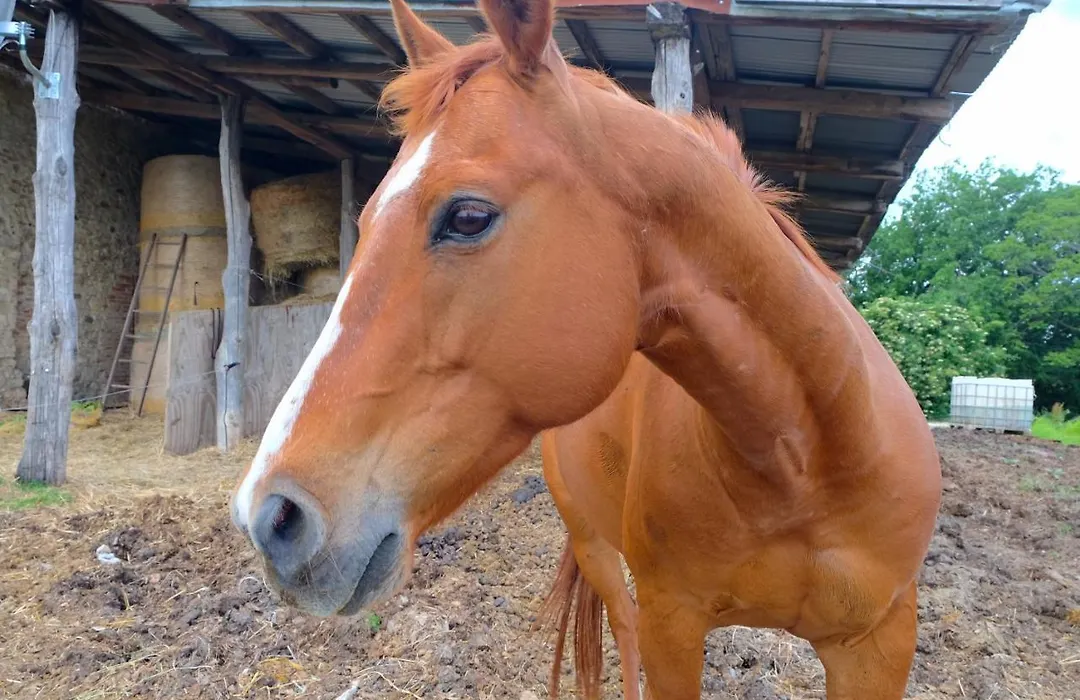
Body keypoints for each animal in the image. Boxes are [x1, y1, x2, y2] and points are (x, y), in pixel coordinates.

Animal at [228, 0, 943, 697]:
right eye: (366, 217)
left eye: (467, 217)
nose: (270, 517)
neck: (804, 460)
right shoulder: (671, 625)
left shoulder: (879, 644)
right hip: (598, 551)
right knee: (620, 628)